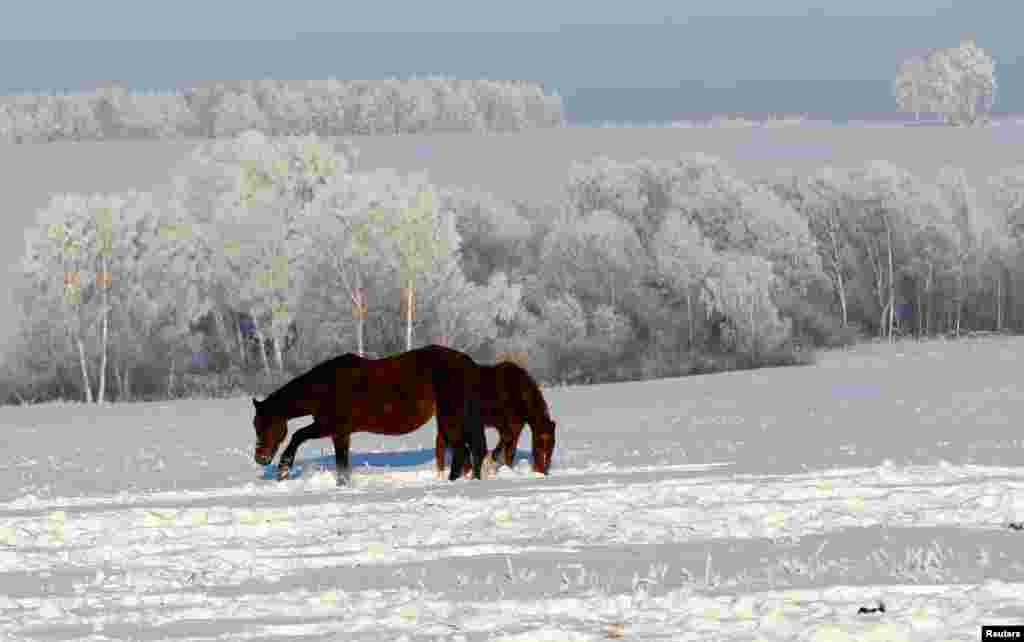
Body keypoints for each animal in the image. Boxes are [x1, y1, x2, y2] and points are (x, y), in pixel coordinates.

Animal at [250, 344, 483, 485]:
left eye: (265, 424)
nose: (261, 458)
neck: (324, 387)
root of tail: (466, 362)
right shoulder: (341, 434)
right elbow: (342, 463)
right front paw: (343, 484)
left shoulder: (330, 426)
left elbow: (298, 435)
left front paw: (283, 469)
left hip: (449, 419)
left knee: (461, 450)